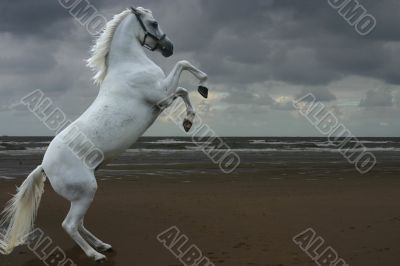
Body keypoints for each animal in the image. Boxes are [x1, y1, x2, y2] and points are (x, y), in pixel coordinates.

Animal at [0, 6, 209, 262]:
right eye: (154, 22)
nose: (169, 48)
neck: (130, 65)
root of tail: (44, 166)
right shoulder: (162, 97)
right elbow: (183, 77)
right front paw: (198, 99)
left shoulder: (163, 98)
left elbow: (183, 81)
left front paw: (192, 111)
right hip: (86, 192)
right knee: (70, 225)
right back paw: (95, 254)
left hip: (82, 196)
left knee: (79, 224)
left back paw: (102, 245)